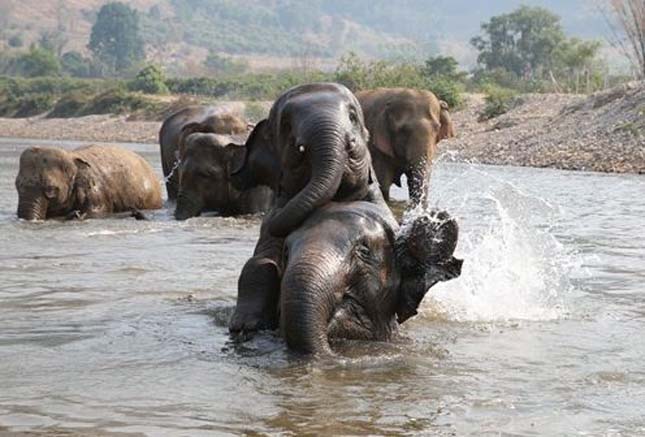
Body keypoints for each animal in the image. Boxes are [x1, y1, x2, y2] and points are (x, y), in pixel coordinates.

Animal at [15, 145, 164, 220]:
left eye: (50, 189)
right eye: (18, 186)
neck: (71, 156)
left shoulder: (96, 192)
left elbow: (97, 213)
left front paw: (76, 215)